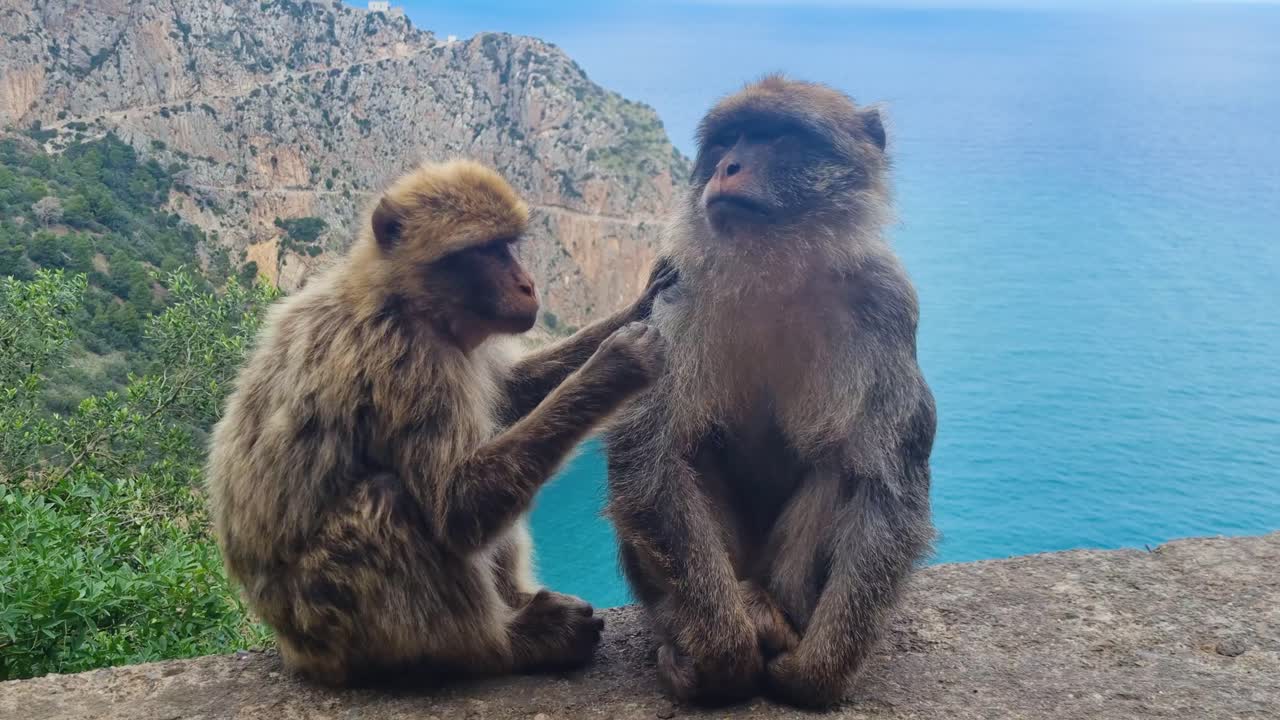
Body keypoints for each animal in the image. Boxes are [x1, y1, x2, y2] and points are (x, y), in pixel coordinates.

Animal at [206, 159, 676, 686]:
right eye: (485, 251)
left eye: (508, 246)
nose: (527, 285)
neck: (406, 300)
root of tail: (292, 650)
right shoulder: (406, 362)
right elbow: (454, 506)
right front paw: (617, 365)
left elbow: (509, 396)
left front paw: (639, 303)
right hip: (325, 623)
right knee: (386, 501)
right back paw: (503, 645)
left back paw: (516, 603)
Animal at [604, 75, 936, 708]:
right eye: (728, 139)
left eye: (772, 136)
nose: (726, 167)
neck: (775, 272)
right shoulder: (675, 286)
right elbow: (653, 462)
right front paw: (725, 654)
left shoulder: (886, 304)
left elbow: (884, 487)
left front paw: (819, 673)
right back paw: (708, 632)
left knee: (840, 468)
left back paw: (774, 616)